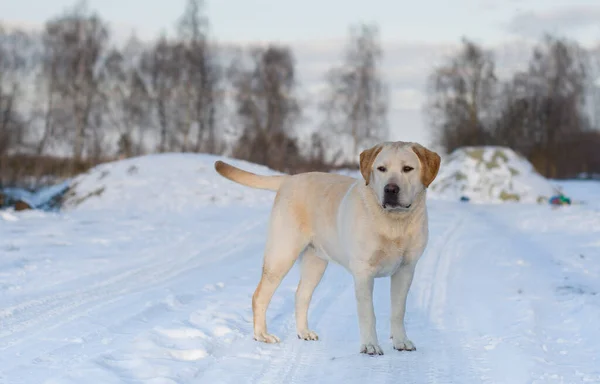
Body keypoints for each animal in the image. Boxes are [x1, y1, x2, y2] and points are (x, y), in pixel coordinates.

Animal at [213, 140, 438, 354]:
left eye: (407, 168)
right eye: (381, 168)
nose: (390, 189)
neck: (394, 223)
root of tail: (289, 179)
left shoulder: (406, 269)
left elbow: (398, 311)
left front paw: (401, 342)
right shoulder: (363, 272)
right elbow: (368, 314)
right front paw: (370, 346)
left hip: (316, 262)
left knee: (301, 295)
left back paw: (303, 332)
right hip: (281, 254)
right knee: (259, 296)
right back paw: (262, 335)